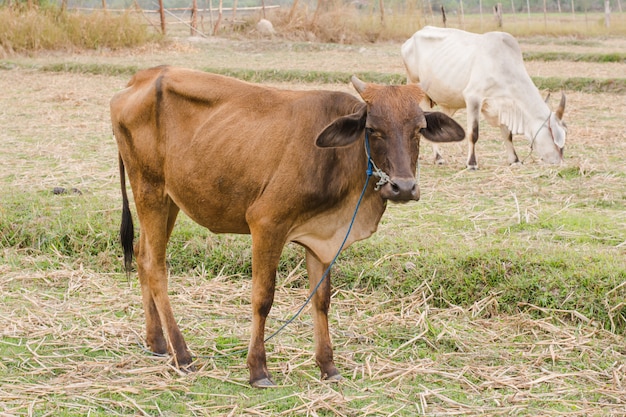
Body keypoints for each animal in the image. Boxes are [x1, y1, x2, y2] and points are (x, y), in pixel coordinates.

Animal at [111, 65, 464, 386]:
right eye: (373, 129)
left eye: (418, 129)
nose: (403, 187)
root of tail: (139, 78)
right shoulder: (266, 224)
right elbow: (263, 298)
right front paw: (258, 369)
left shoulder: (322, 238)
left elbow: (321, 300)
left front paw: (328, 366)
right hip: (149, 190)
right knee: (156, 266)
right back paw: (182, 354)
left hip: (169, 199)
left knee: (142, 255)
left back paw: (157, 343)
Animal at [400, 25, 564, 169]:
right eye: (555, 137)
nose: (559, 162)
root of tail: (411, 39)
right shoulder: (473, 98)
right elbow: (473, 134)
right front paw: (472, 163)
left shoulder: (502, 104)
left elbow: (507, 135)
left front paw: (515, 160)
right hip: (414, 84)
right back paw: (435, 157)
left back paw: (437, 157)